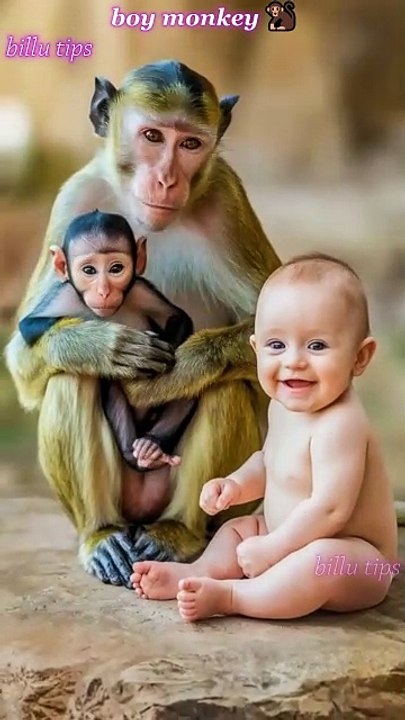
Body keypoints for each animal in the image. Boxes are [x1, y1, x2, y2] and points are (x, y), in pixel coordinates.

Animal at [5, 60, 281, 587]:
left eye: (190, 144)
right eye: (152, 136)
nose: (167, 179)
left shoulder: (227, 199)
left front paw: (171, 375)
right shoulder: (75, 196)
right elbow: (22, 353)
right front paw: (97, 346)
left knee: (225, 388)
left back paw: (177, 531)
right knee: (69, 382)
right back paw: (103, 534)